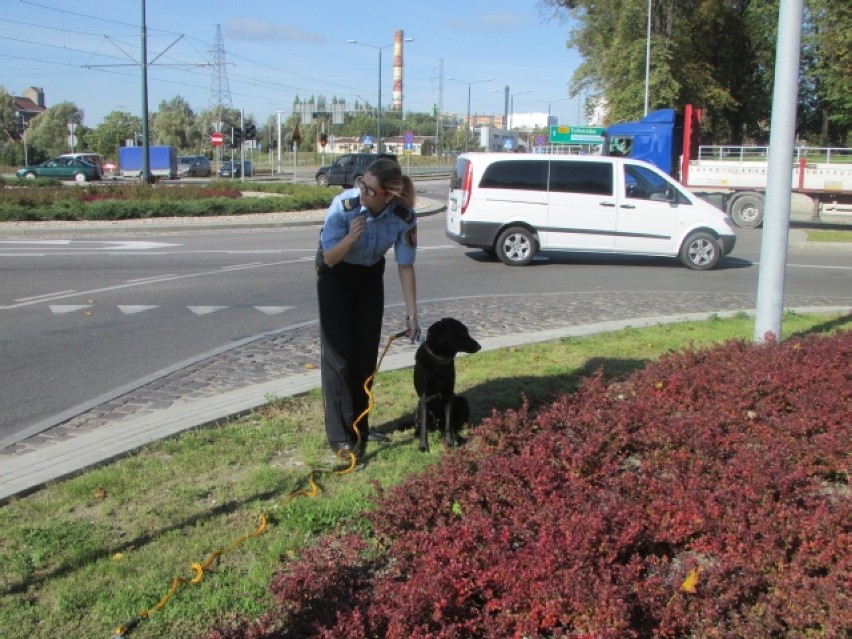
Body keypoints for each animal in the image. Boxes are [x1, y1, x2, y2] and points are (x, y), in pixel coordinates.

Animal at [416, 318, 482, 450]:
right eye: (461, 333)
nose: (479, 346)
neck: (439, 359)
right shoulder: (424, 398)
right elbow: (424, 427)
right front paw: (423, 446)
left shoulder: (448, 395)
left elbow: (448, 425)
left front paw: (450, 442)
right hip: (419, 407)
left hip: (462, 401)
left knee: (452, 426)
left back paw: (458, 437)